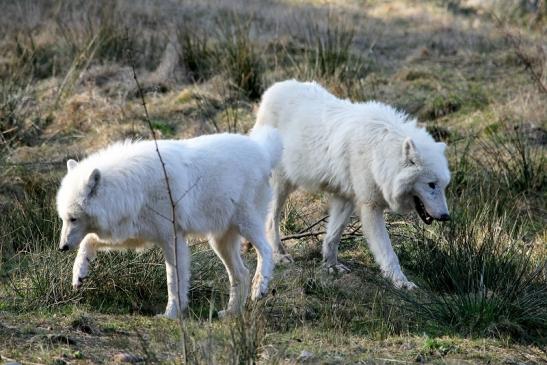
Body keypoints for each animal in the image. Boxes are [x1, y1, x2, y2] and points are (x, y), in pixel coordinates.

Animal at [56, 127, 282, 316]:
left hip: (246, 225)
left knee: (266, 250)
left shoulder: (172, 239)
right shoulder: (131, 234)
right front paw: (78, 273)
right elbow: (89, 241)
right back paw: (230, 313)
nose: (62, 247)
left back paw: (260, 287)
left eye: (73, 219)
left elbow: (173, 282)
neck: (133, 188)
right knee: (241, 274)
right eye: (64, 219)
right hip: (220, 242)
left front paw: (171, 314)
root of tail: (262, 150)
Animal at [255, 79, 452, 288]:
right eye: (431, 184)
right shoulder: (370, 207)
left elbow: (333, 236)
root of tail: (272, 90)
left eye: (444, 186)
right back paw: (279, 255)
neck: (379, 153)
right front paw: (401, 282)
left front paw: (331, 266)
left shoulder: (346, 198)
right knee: (270, 221)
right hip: (280, 186)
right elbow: (388, 253)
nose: (446, 217)